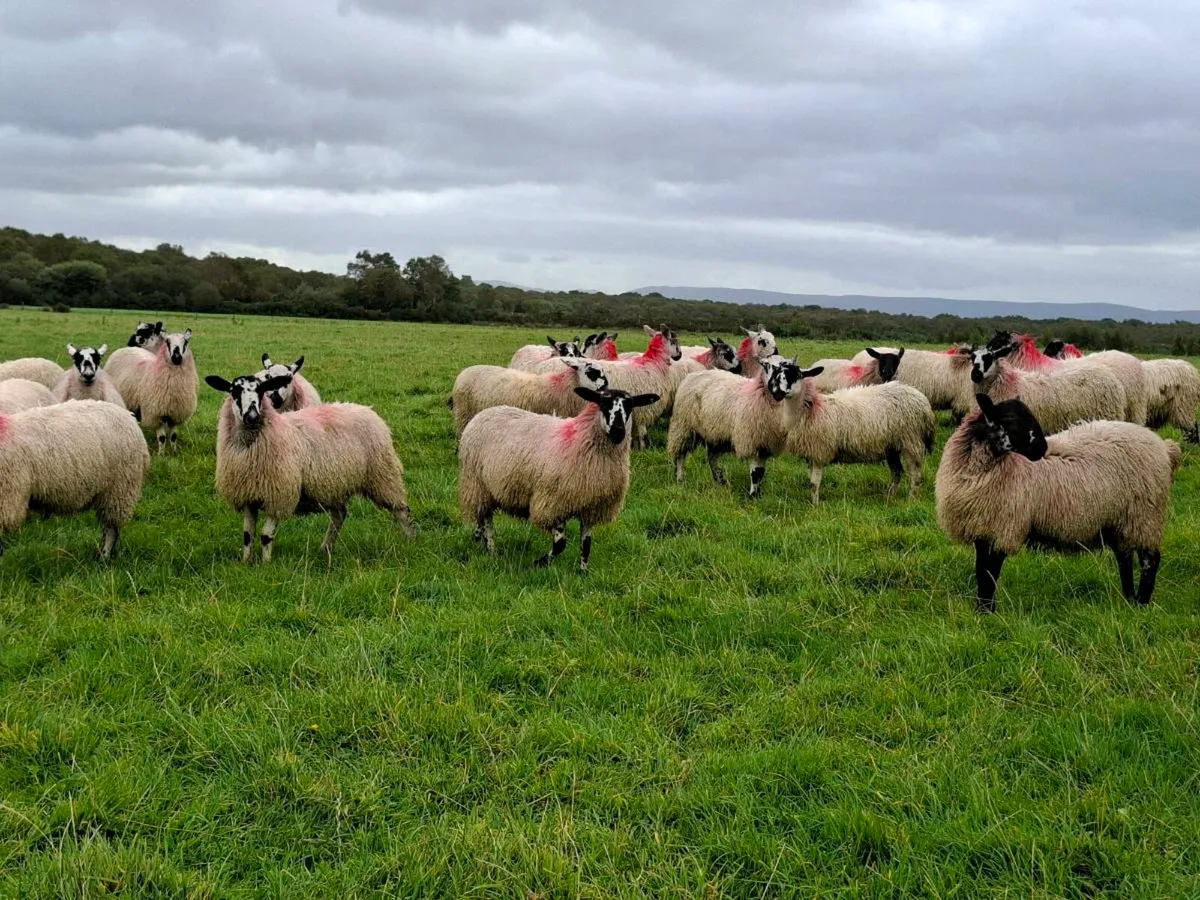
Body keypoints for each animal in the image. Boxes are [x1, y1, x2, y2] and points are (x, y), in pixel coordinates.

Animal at [206, 372, 415, 565]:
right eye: (234, 391)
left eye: (261, 390)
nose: (252, 417)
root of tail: (366, 409)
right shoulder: (248, 495)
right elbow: (247, 535)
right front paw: (246, 563)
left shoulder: (280, 494)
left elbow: (266, 535)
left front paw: (265, 565)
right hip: (334, 485)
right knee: (339, 516)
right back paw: (326, 548)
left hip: (382, 475)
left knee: (401, 510)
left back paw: (410, 540)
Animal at [458, 386, 660, 570]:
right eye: (604, 403)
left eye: (630, 405)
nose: (618, 431)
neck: (582, 440)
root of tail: (484, 413)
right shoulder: (553, 504)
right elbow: (560, 544)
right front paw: (539, 563)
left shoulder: (591, 507)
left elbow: (586, 544)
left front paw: (583, 572)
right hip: (477, 484)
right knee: (486, 519)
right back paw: (492, 550)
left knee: (481, 517)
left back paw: (480, 540)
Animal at [785, 370, 937, 505]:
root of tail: (922, 399)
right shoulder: (811, 455)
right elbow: (812, 482)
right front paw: (813, 503)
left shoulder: (819, 452)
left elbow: (814, 483)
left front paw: (815, 506)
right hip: (892, 447)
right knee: (897, 471)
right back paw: (889, 496)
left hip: (911, 441)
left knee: (915, 474)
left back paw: (912, 499)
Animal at [936, 393, 1180, 611]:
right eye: (1011, 419)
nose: (1042, 448)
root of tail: (1163, 447)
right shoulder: (983, 530)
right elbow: (981, 572)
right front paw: (983, 609)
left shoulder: (1003, 528)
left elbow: (990, 574)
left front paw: (986, 612)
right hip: (1121, 519)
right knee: (1125, 557)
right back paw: (1128, 599)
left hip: (1145, 515)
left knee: (1150, 560)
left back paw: (1141, 603)